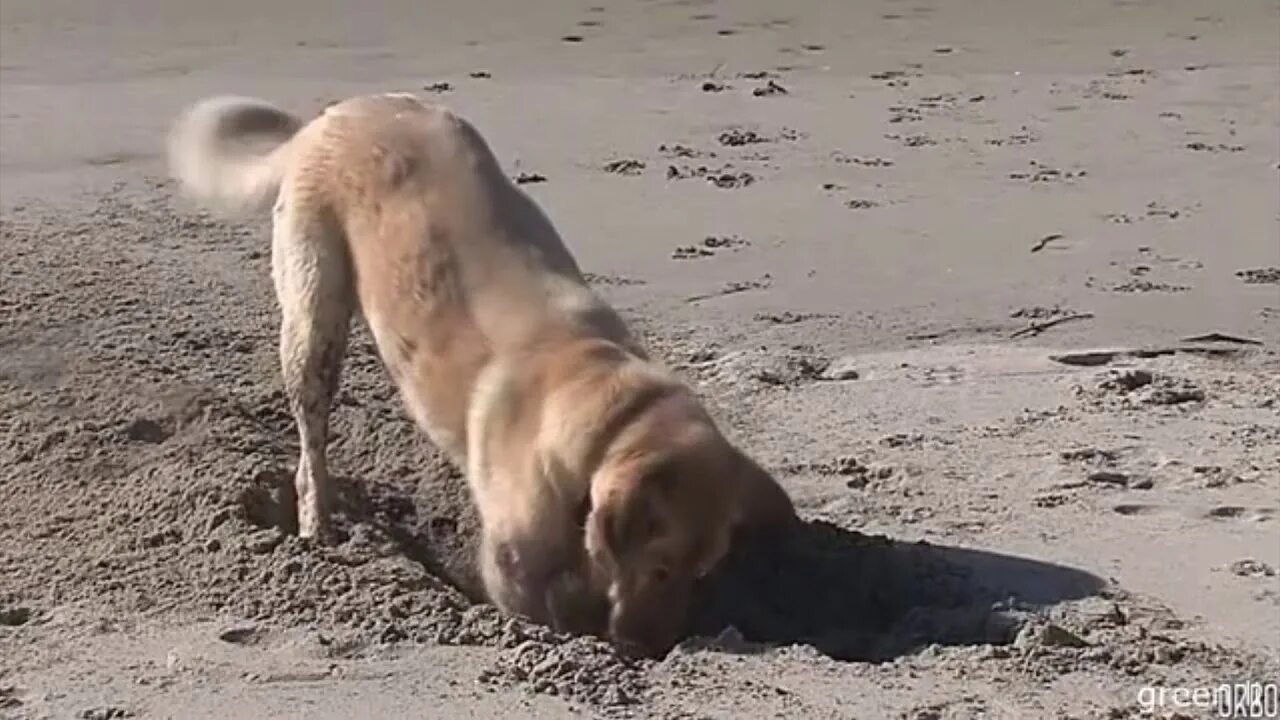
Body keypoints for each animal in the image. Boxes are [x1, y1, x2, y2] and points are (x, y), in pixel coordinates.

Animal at [165, 92, 793, 653]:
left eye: (703, 573)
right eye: (661, 568)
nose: (655, 650)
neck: (606, 407)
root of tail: (328, 117)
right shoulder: (509, 569)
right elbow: (542, 607)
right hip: (313, 315)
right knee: (310, 445)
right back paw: (318, 524)